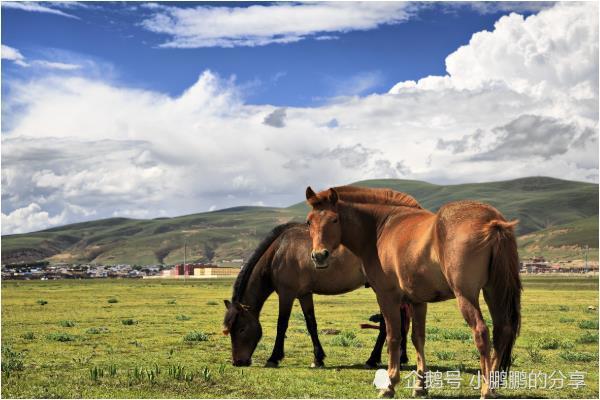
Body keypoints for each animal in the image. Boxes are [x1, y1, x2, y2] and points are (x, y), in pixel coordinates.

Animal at [223, 222, 410, 368]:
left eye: (241, 329)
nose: (238, 362)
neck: (278, 252)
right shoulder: (304, 295)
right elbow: (311, 324)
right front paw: (318, 359)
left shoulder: (286, 294)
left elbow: (281, 325)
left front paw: (274, 358)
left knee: (388, 324)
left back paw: (373, 359)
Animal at [304, 186, 520, 398]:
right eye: (309, 222)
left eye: (334, 219)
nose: (319, 256)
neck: (380, 227)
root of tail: (492, 221)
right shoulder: (417, 301)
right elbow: (418, 339)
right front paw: (420, 385)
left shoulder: (387, 297)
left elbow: (393, 336)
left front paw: (390, 384)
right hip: (493, 292)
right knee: (502, 331)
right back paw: (493, 384)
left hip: (466, 295)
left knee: (481, 332)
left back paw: (486, 389)